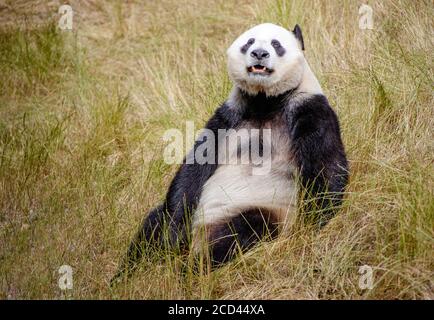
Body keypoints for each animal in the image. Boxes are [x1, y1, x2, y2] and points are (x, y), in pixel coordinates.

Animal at [112, 22, 350, 278]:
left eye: (276, 44)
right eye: (249, 42)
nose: (259, 53)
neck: (265, 102)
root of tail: (200, 237)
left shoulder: (309, 109)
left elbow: (326, 168)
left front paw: (314, 227)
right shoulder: (228, 117)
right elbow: (193, 169)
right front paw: (171, 235)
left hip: (260, 208)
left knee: (243, 231)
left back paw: (193, 268)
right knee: (155, 226)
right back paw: (132, 273)